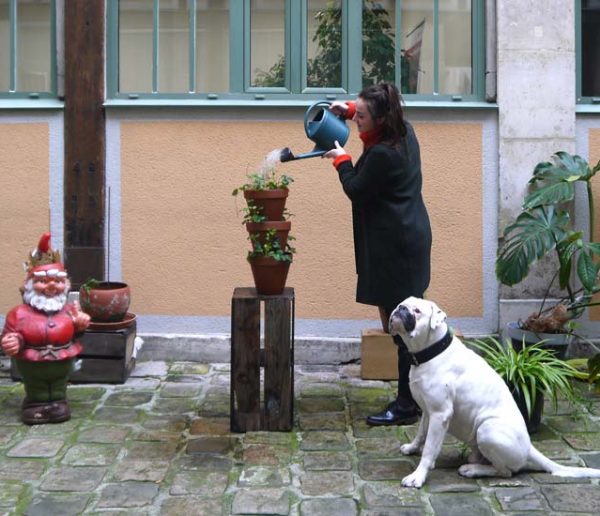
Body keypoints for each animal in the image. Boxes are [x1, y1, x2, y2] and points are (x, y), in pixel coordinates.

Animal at [390, 296, 600, 486]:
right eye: (402, 304)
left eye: (417, 311)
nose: (400, 308)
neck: (432, 351)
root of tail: (529, 447)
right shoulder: (428, 412)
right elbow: (421, 435)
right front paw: (412, 448)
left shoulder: (439, 414)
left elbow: (429, 449)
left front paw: (418, 476)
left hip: (487, 430)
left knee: (505, 472)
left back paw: (473, 470)